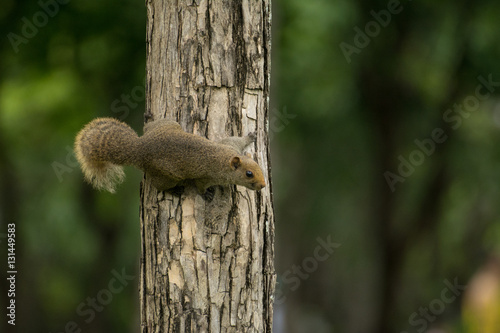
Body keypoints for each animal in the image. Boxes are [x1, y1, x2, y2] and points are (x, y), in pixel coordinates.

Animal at [73, 116, 266, 195]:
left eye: (259, 167)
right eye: (249, 174)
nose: (263, 186)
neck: (224, 159)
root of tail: (139, 148)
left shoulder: (229, 145)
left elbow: (237, 139)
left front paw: (251, 136)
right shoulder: (207, 175)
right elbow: (200, 185)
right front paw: (206, 194)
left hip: (167, 124)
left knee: (149, 126)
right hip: (167, 175)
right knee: (159, 186)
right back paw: (174, 191)